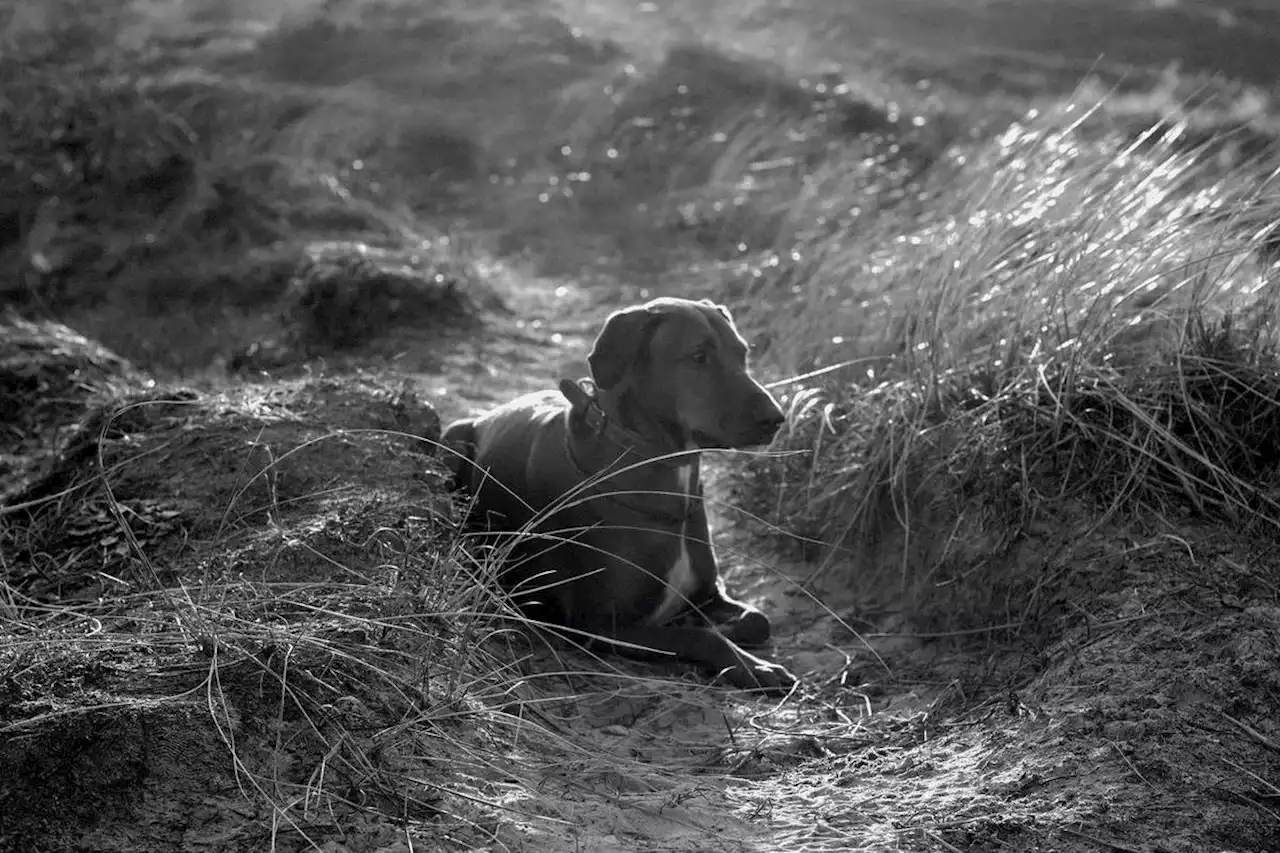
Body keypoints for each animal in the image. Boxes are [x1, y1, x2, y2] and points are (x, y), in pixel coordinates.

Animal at [445, 295, 793, 696]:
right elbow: (701, 637)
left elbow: (759, 620)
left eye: (742, 353)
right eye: (698, 356)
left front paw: (733, 631)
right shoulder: (598, 626)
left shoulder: (709, 594)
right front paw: (752, 665)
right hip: (452, 440)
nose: (775, 419)